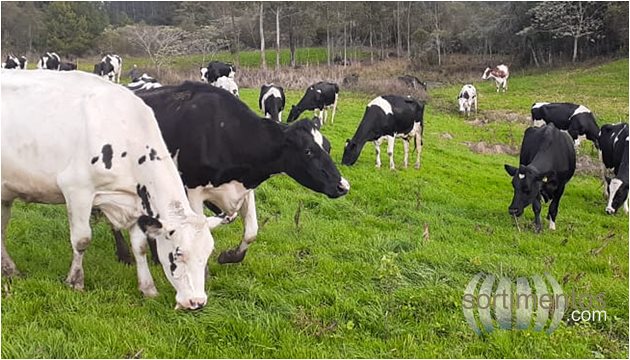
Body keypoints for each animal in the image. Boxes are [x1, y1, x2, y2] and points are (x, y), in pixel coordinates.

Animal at [1, 69, 216, 310]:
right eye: (178, 255)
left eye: (208, 254)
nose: (197, 302)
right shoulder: (77, 190)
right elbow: (82, 240)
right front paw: (75, 281)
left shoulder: (135, 202)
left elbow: (140, 246)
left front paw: (148, 288)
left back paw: (9, 269)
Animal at [125, 83, 350, 264]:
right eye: (308, 151)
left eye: (328, 147)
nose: (343, 186)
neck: (224, 133)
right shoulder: (193, 190)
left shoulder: (244, 185)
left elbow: (251, 231)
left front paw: (229, 256)